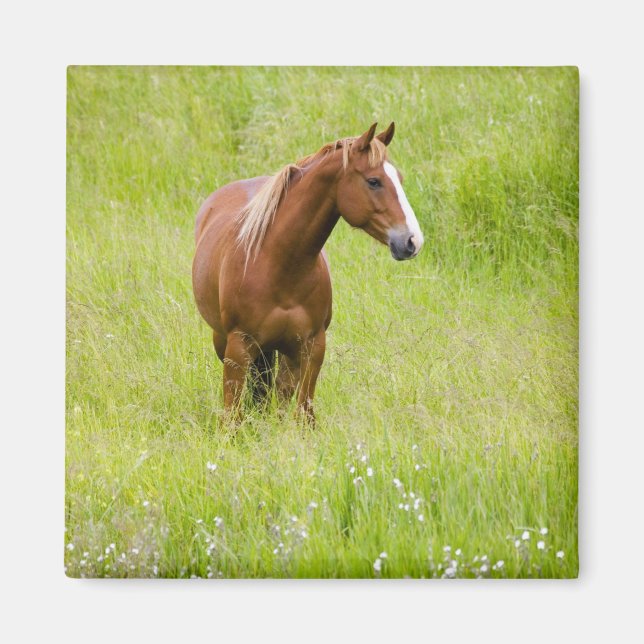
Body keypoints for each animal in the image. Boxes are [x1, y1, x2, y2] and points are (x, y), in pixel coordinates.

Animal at [192, 122, 424, 423]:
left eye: (400, 179)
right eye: (374, 181)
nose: (412, 241)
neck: (278, 264)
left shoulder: (312, 347)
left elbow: (303, 413)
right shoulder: (237, 349)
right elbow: (232, 415)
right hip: (225, 342)